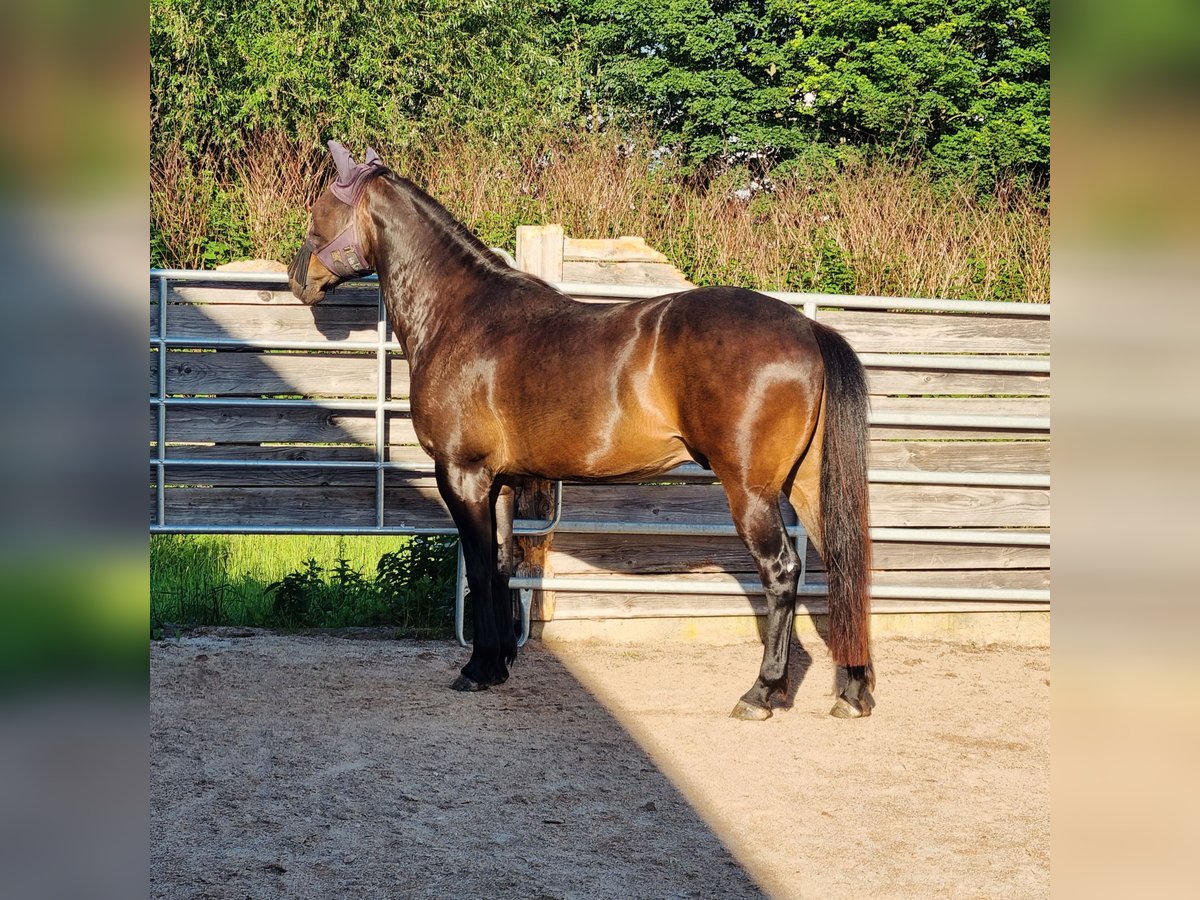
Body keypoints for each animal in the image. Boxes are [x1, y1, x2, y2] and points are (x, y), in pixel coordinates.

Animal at [289, 144, 873, 724]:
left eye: (320, 211)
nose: (299, 279)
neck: (460, 315)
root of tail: (806, 327)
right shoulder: (501, 483)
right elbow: (502, 567)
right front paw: (498, 664)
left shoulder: (463, 475)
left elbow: (478, 567)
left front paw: (475, 669)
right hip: (806, 485)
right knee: (844, 568)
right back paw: (853, 692)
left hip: (751, 491)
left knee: (783, 571)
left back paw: (762, 693)